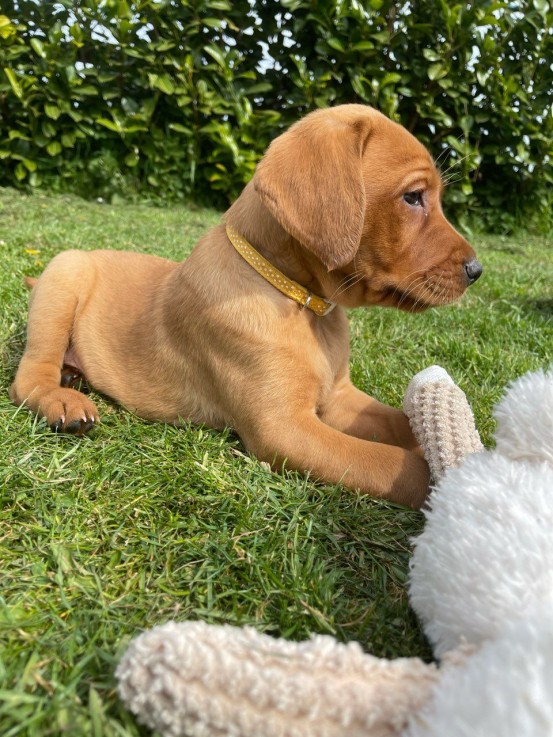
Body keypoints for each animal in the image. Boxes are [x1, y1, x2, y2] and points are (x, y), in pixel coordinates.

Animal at [11, 103, 478, 506]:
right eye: (413, 197)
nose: (477, 270)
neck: (303, 302)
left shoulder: (339, 398)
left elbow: (399, 421)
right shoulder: (283, 428)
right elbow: (391, 463)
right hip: (64, 275)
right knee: (29, 375)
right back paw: (63, 400)